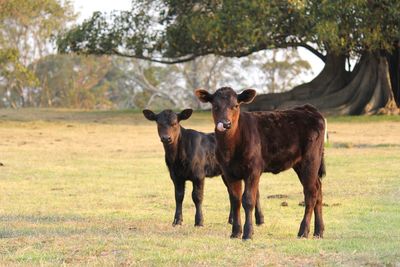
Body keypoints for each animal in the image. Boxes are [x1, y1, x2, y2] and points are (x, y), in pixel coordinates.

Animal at [195, 88, 326, 241]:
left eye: (236, 105)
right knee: (318, 189)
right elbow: (235, 200)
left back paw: (303, 231)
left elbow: (248, 200)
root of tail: (309, 109)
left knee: (311, 193)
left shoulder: (253, 170)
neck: (230, 147)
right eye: (215, 106)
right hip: (300, 164)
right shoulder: (228, 172)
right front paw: (235, 232)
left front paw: (248, 233)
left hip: (310, 160)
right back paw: (318, 231)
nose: (226, 124)